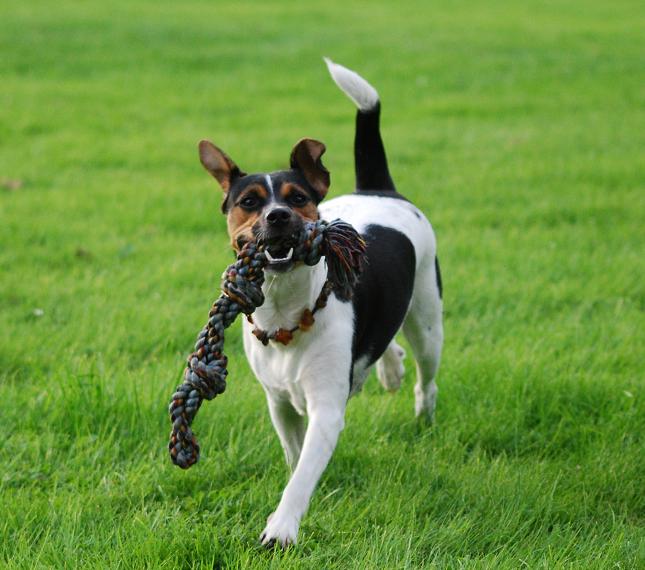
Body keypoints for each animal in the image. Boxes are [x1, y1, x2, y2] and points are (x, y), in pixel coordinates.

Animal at [198, 59, 443, 547]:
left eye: (298, 199)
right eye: (248, 202)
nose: (278, 216)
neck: (285, 313)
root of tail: (378, 190)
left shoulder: (325, 411)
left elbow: (302, 474)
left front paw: (281, 529)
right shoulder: (278, 403)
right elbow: (297, 462)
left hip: (428, 321)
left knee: (426, 377)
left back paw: (422, 412)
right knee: (386, 346)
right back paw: (388, 370)